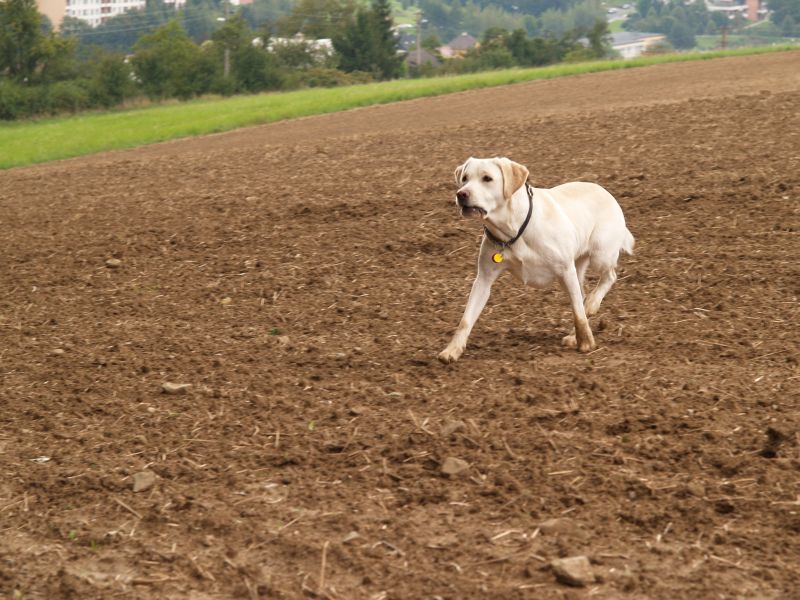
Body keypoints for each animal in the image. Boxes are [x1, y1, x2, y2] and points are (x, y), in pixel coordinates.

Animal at [440, 156, 636, 360]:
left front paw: (586, 343)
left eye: (487, 178)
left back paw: (592, 304)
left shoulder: (566, 270)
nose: (461, 194)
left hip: (599, 255)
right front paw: (452, 350)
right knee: (582, 297)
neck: (513, 229)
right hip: (576, 270)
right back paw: (575, 332)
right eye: (464, 178)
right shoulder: (484, 279)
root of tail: (606, 192)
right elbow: (466, 319)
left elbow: (578, 313)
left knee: (608, 278)